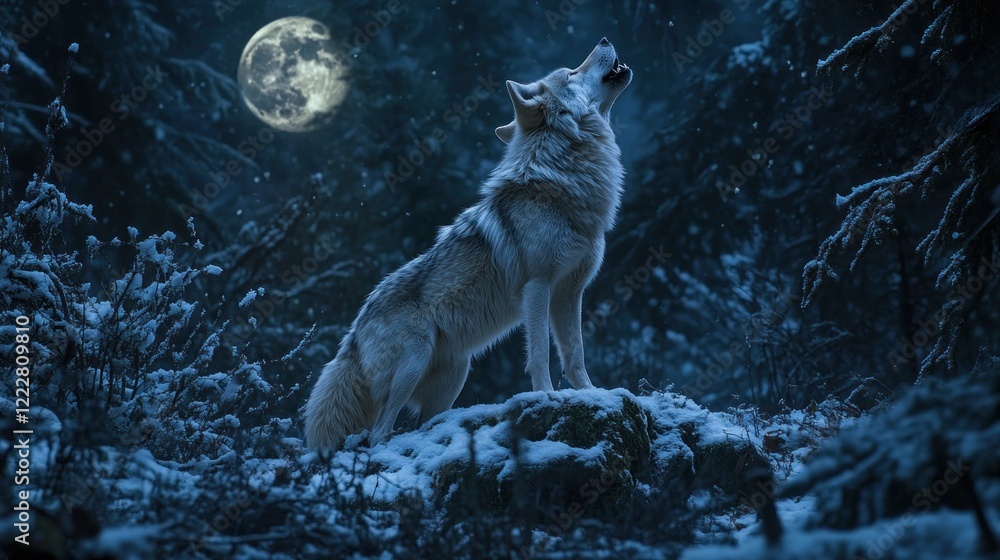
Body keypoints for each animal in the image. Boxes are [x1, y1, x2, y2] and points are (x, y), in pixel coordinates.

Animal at [305, 38, 632, 452]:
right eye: (571, 72)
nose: (604, 40)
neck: (562, 183)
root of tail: (353, 331)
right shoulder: (538, 287)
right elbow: (540, 354)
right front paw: (546, 396)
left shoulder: (569, 293)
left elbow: (575, 354)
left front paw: (592, 394)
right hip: (415, 359)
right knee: (379, 432)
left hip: (455, 376)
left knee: (417, 423)